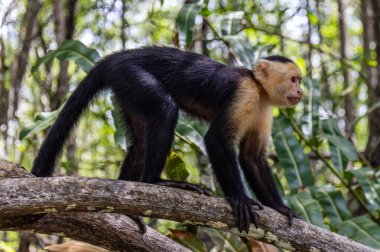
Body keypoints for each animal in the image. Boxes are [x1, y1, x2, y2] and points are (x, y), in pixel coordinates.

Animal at [31, 45, 302, 234]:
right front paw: (241, 199)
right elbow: (216, 140)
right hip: (131, 75)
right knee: (164, 108)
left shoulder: (265, 109)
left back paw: (130, 207)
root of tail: (117, 57)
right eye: (293, 79)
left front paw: (280, 208)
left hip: (126, 89)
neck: (259, 89)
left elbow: (252, 157)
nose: (301, 91)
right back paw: (156, 182)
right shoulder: (244, 94)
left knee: (140, 145)